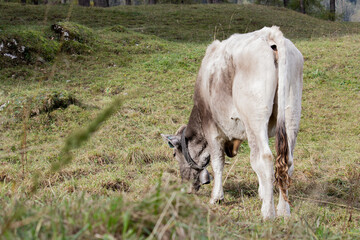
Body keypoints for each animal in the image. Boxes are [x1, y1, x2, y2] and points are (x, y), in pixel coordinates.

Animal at [162, 26, 302, 219]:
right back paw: (283, 210)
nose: (187, 188)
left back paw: (268, 213)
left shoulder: (212, 130)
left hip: (255, 119)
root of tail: (270, 33)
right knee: (286, 161)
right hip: (291, 114)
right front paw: (262, 193)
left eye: (175, 154)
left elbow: (217, 162)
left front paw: (216, 197)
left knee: (264, 158)